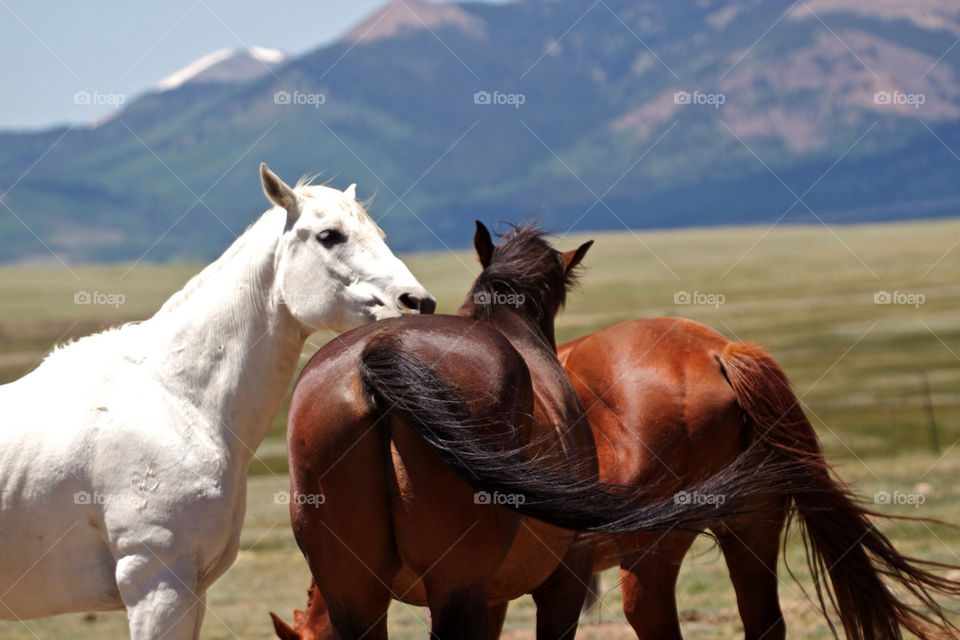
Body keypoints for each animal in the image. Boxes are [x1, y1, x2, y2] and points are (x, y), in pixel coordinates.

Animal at [0, 166, 436, 640]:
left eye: (379, 234)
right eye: (329, 236)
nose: (419, 303)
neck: (179, 402)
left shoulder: (193, 593)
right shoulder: (155, 587)